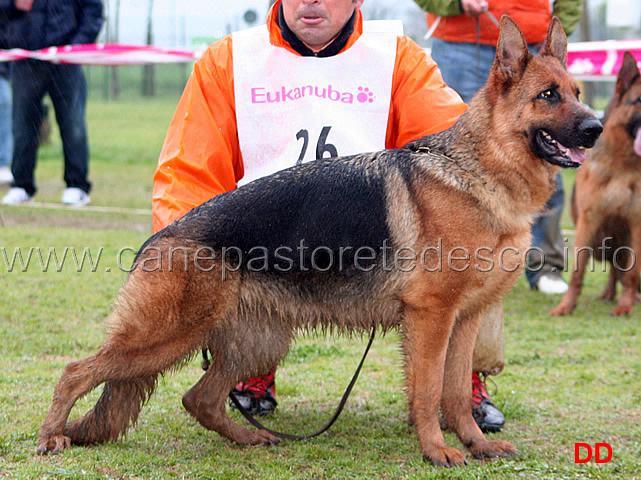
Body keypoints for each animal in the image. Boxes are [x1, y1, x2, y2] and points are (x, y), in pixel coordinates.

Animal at [36, 16, 600, 466]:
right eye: (548, 96)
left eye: (576, 92)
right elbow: (427, 393)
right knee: (75, 370)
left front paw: (476, 444)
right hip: (165, 336)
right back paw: (50, 436)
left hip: (255, 342)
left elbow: (458, 393)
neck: (480, 171)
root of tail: (163, 235)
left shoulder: (464, 321)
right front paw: (437, 450)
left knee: (199, 398)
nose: (596, 128)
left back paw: (248, 438)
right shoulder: (431, 319)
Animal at [548, 50, 640, 316]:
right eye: (639, 100)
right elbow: (577, 272)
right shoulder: (589, 221)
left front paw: (625, 306)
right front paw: (566, 307)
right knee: (613, 270)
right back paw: (609, 293)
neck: (624, 168)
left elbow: (632, 273)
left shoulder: (636, 224)